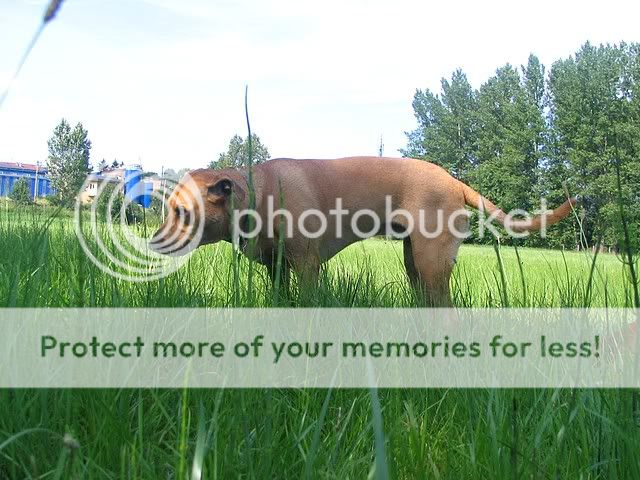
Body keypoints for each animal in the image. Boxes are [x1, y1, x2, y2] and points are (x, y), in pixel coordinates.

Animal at [151, 157, 577, 306]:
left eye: (182, 212)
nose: (153, 242)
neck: (261, 194)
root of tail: (454, 181)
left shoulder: (308, 266)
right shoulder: (277, 269)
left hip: (431, 263)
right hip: (415, 264)